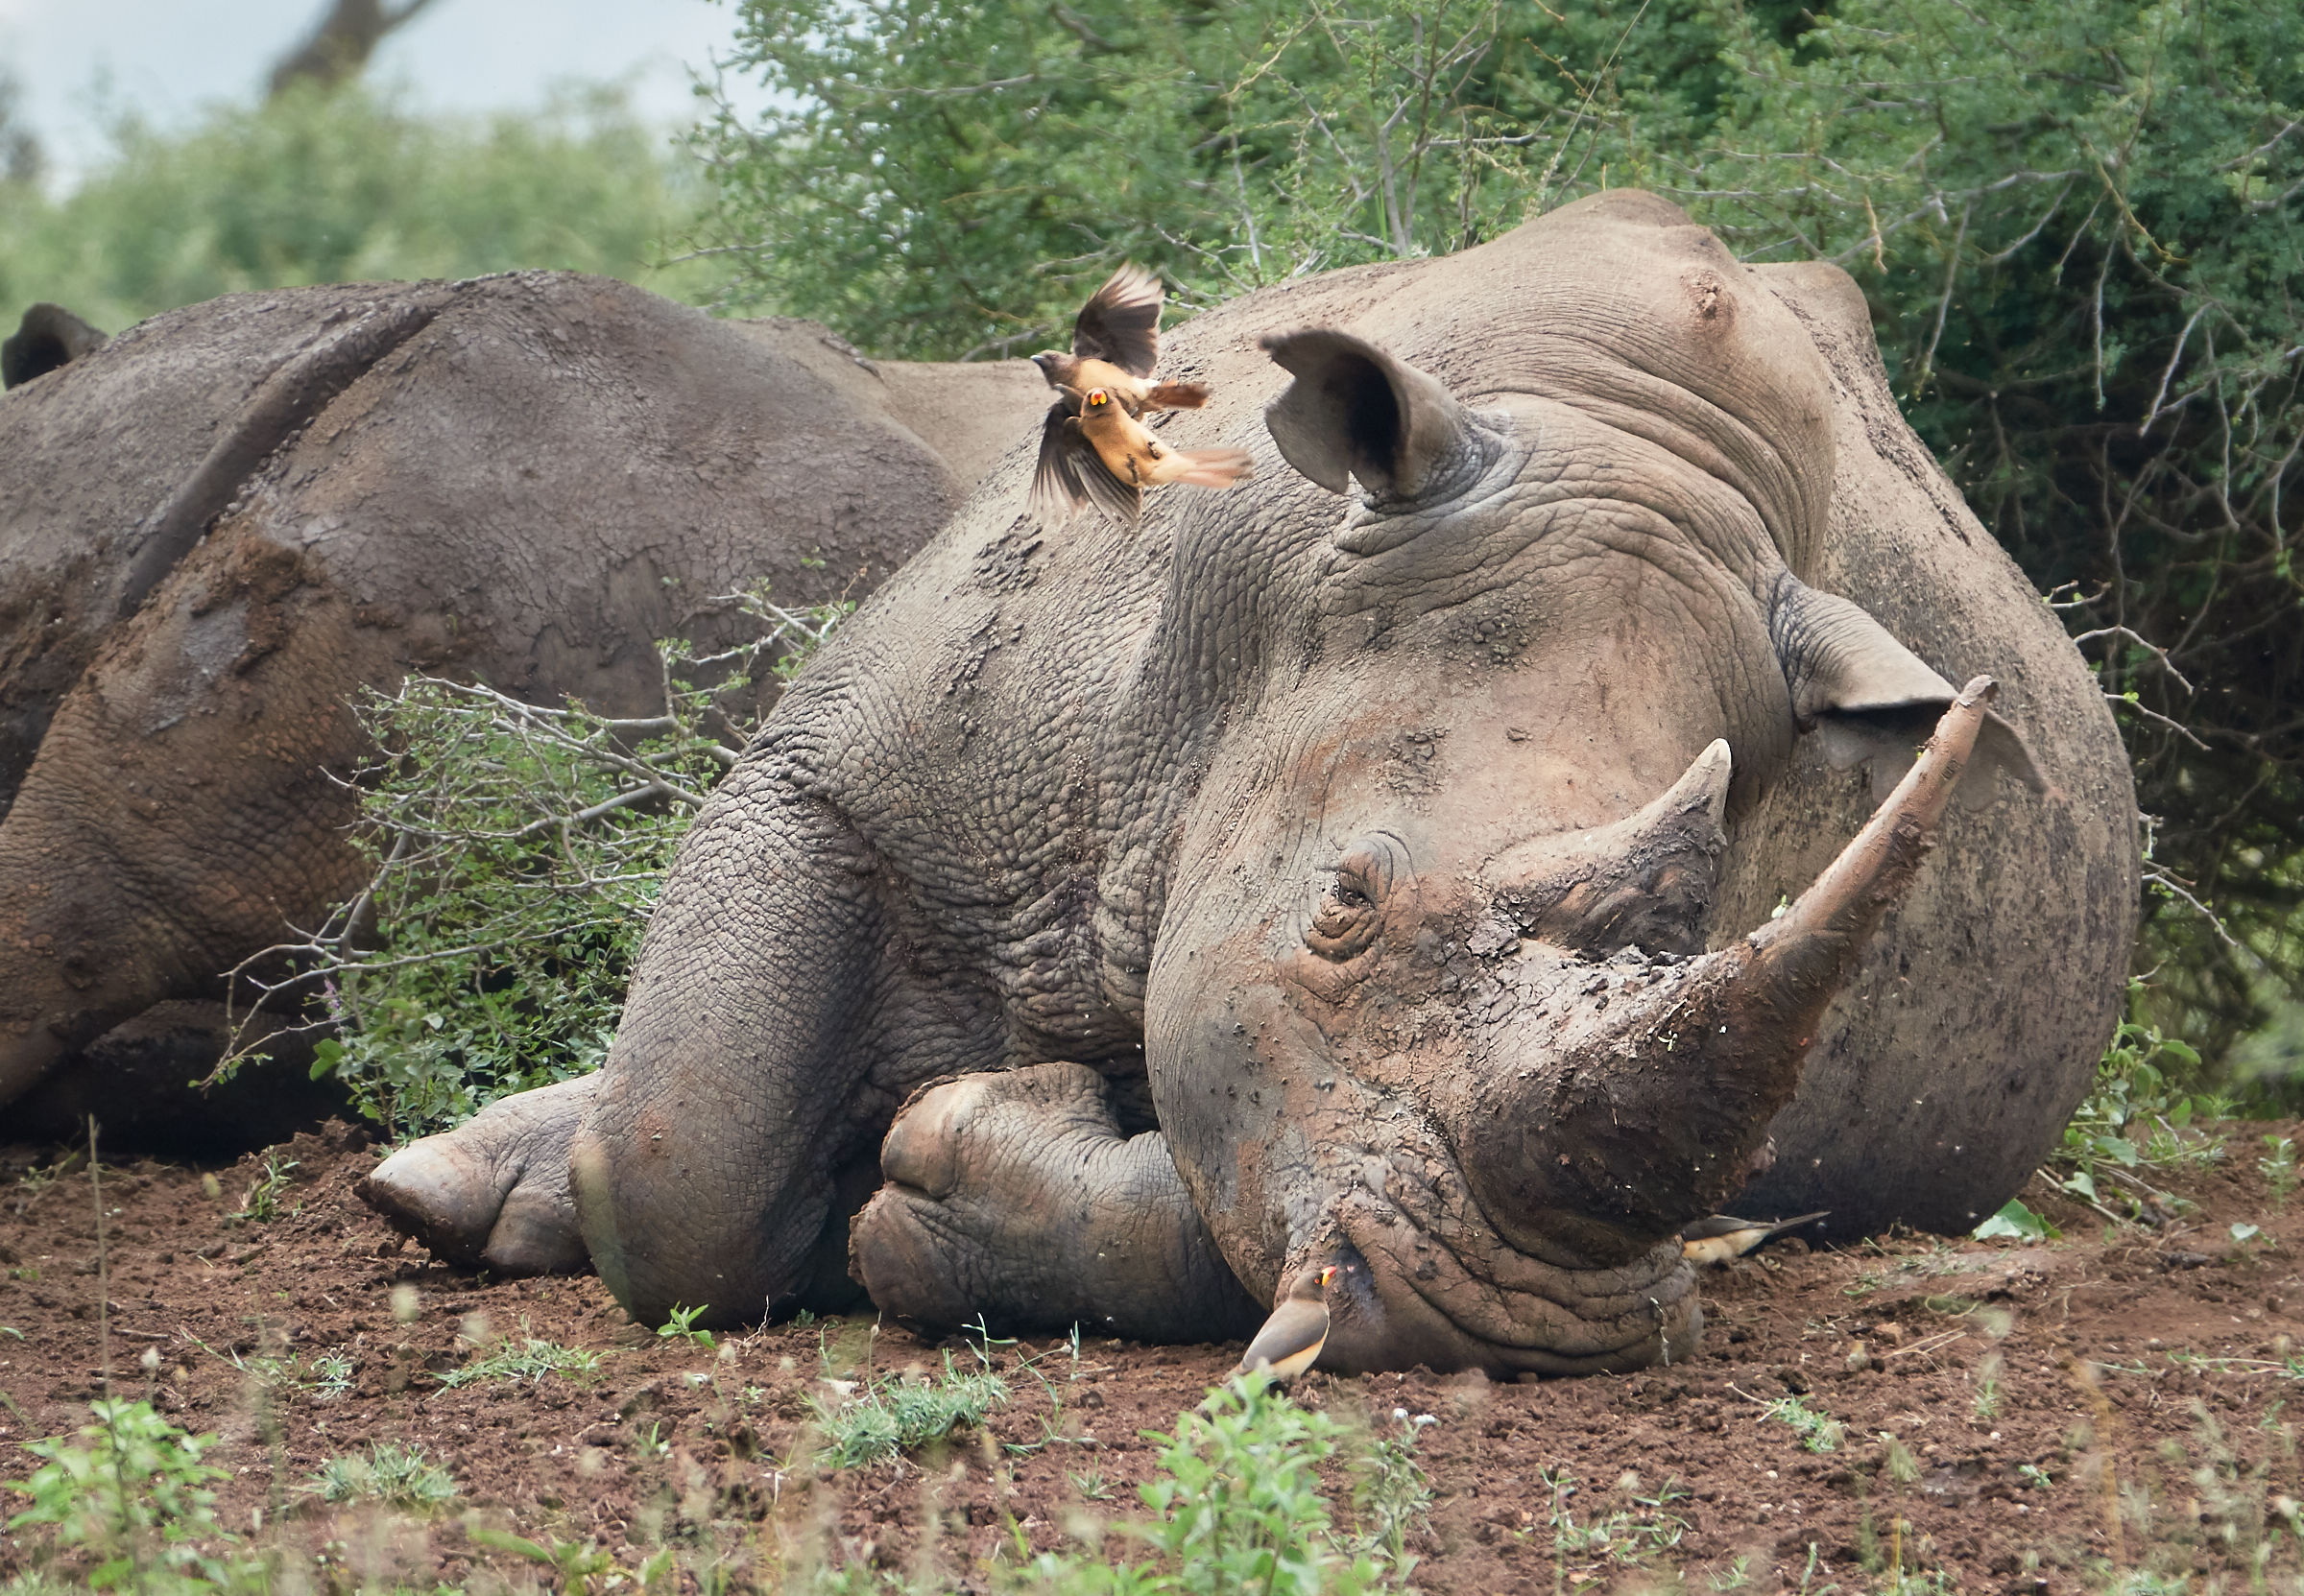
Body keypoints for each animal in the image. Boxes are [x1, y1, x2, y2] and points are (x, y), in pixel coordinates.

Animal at [364, 193, 2137, 1373]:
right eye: (1341, 904)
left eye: (1692, 922)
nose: (1518, 1324)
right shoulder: (846, 763)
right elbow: (679, 1161)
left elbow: (1212, 1182)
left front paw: (945, 1174)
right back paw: (451, 1182)